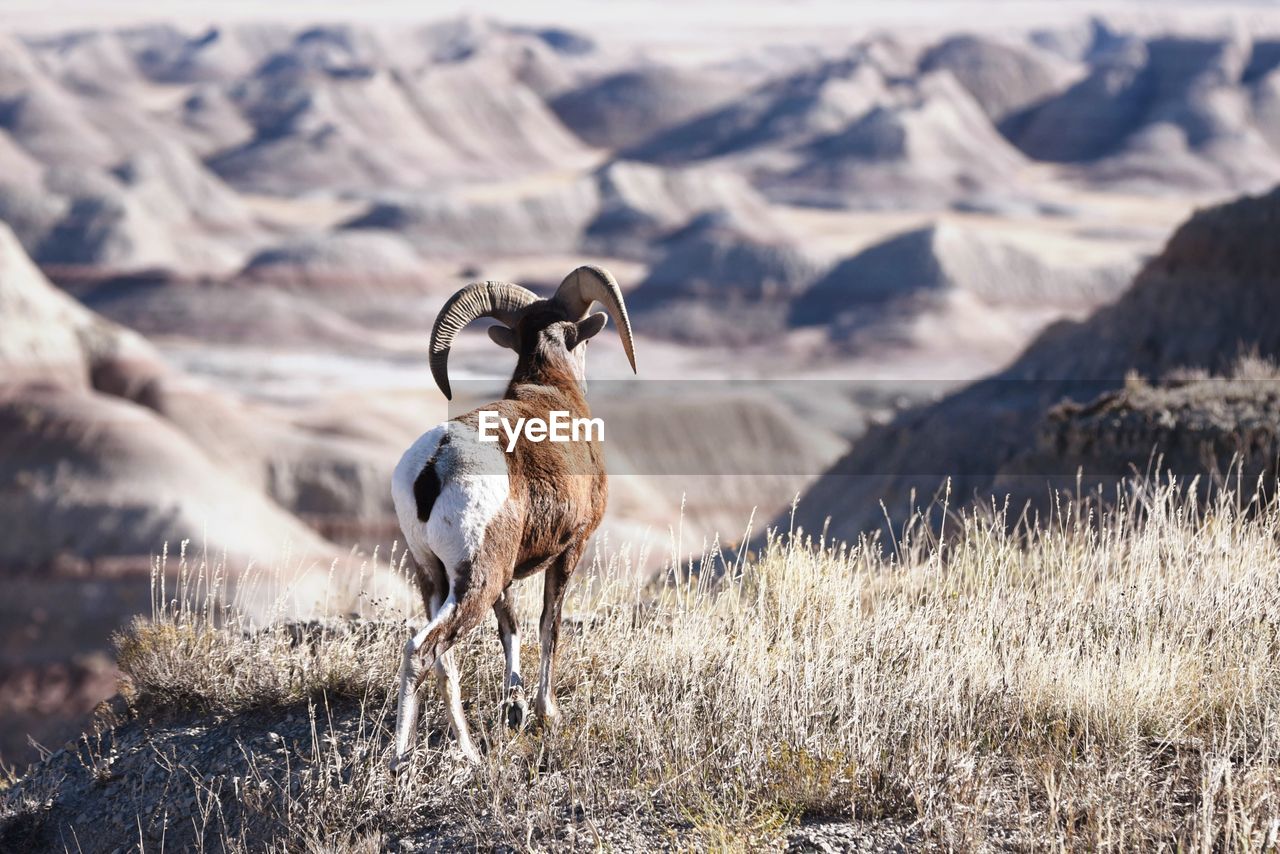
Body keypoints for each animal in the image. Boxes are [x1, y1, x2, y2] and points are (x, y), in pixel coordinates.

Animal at [386, 263, 632, 763]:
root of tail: (436, 462)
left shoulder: (508, 578)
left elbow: (510, 629)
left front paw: (514, 709)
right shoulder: (570, 550)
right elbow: (548, 625)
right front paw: (545, 712)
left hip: (434, 579)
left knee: (444, 661)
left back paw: (455, 750)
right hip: (476, 580)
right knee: (422, 650)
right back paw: (441, 758)